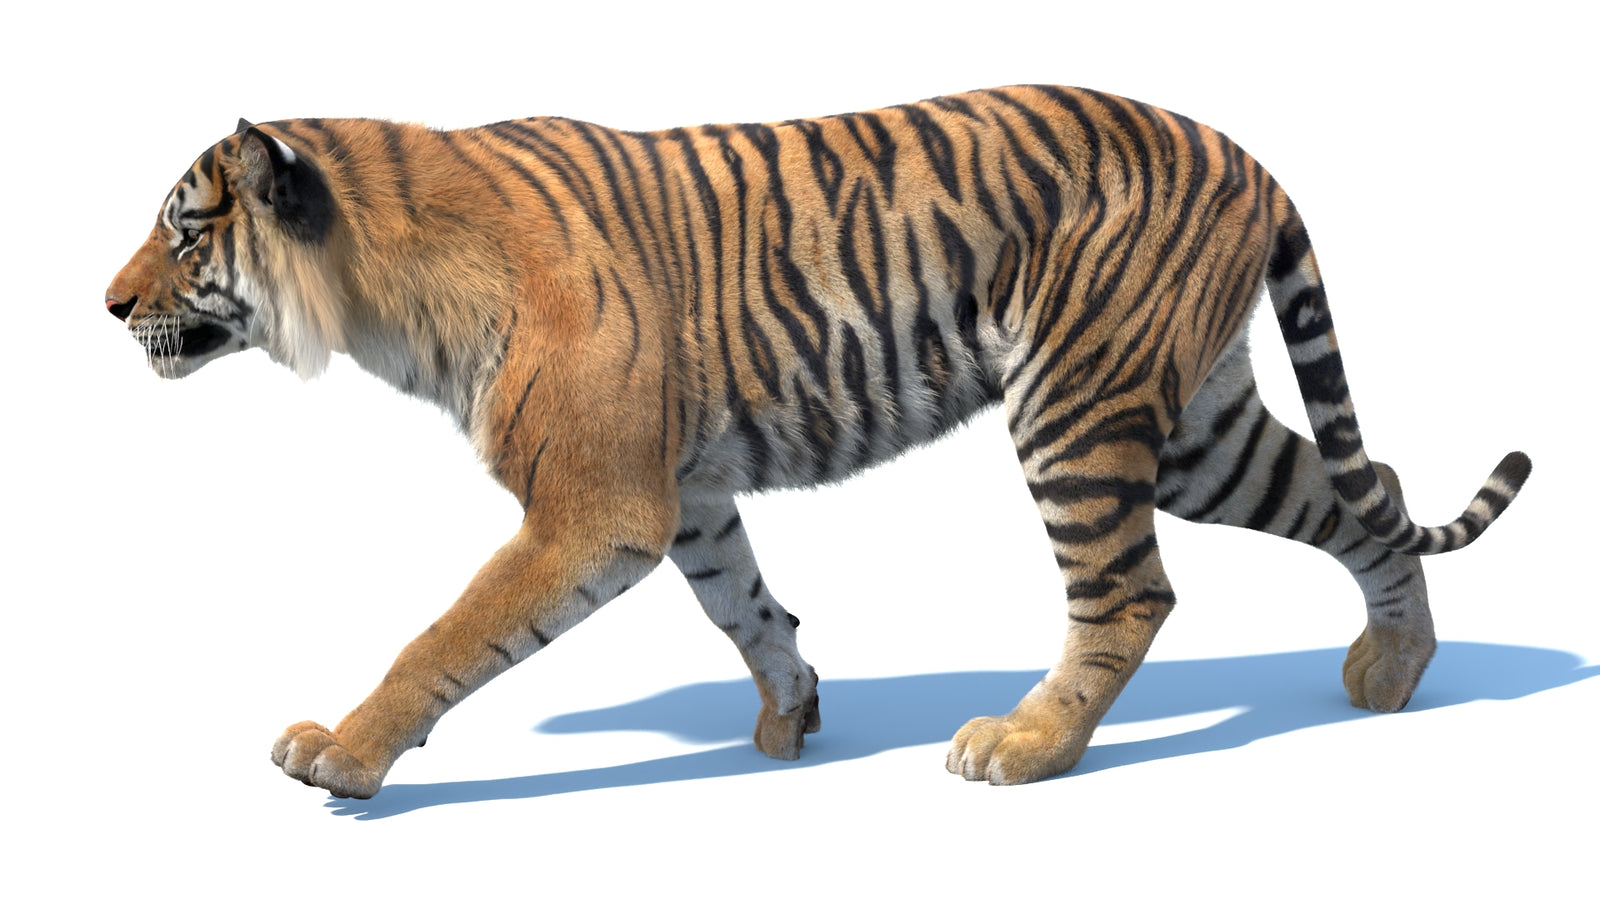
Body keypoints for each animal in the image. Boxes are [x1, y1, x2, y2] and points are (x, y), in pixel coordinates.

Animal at [106, 86, 1530, 799]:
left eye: (183, 231)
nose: (108, 306)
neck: (378, 287)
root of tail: (1250, 158)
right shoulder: (682, 493)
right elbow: (744, 604)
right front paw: (792, 712)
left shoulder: (591, 507)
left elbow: (444, 636)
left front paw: (343, 756)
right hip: (1192, 424)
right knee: (1367, 490)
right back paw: (1394, 671)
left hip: (1078, 404)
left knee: (1130, 591)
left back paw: (1026, 748)